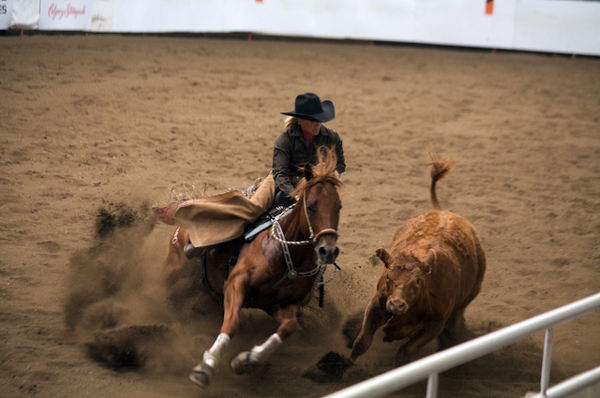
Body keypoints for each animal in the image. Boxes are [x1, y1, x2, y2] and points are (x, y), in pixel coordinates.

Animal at [162, 146, 344, 386]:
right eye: (311, 207)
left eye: (338, 207)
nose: (328, 250)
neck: (289, 257)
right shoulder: (236, 283)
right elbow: (231, 323)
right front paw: (206, 366)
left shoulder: (281, 305)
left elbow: (289, 327)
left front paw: (247, 359)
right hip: (174, 267)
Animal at [350, 155, 486, 364]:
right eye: (388, 277)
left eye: (418, 281)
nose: (396, 305)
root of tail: (444, 211)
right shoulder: (376, 303)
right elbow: (361, 343)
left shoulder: (435, 324)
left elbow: (404, 353)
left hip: (469, 295)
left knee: (455, 322)